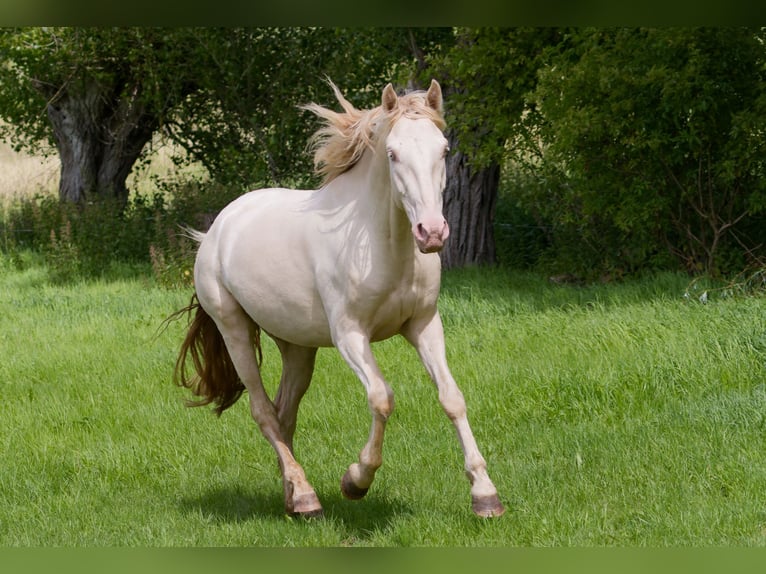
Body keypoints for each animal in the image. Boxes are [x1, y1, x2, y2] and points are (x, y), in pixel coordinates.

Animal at [172, 79, 508, 520]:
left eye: (444, 150)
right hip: (234, 330)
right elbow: (382, 398)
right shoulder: (350, 334)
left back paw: (293, 497)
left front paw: (485, 495)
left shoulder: (423, 325)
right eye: (392, 153)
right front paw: (356, 481)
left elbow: (452, 398)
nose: (432, 232)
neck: (382, 245)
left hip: (296, 345)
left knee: (284, 413)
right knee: (264, 412)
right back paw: (306, 496)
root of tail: (216, 229)